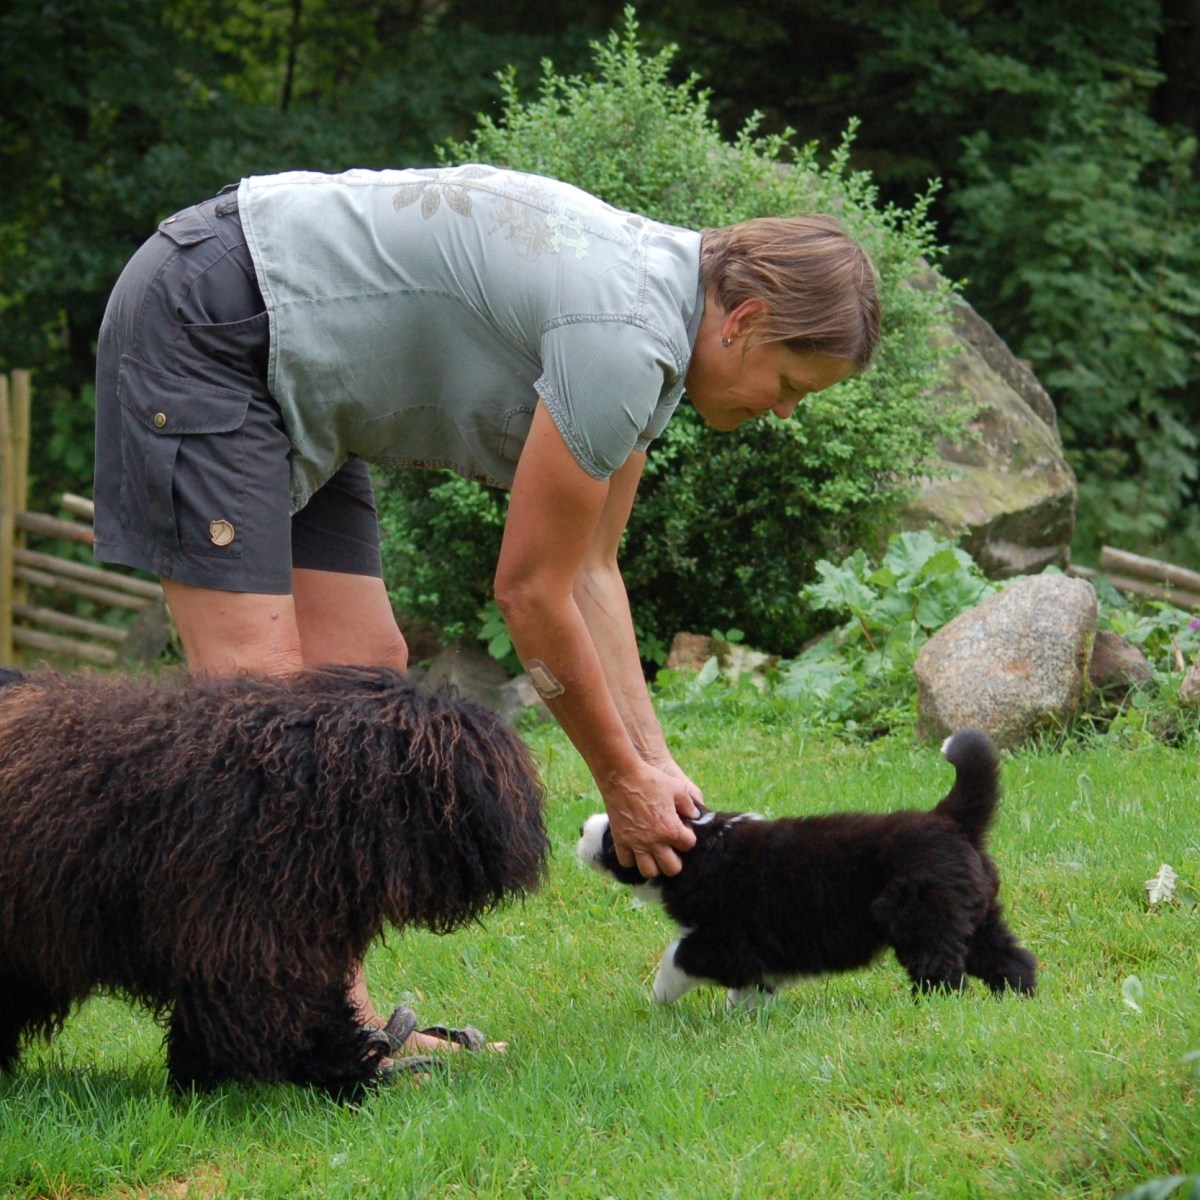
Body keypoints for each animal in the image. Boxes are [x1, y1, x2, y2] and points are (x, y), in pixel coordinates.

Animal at [576, 729, 1035, 1007]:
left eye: (613, 833)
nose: (581, 828)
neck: (703, 846)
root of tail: (950, 820)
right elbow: (752, 985)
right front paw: (743, 1015)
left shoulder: (726, 939)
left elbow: (678, 954)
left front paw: (660, 995)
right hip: (975, 911)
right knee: (1008, 956)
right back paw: (1017, 997)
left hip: (922, 913)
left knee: (942, 967)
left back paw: (929, 1008)